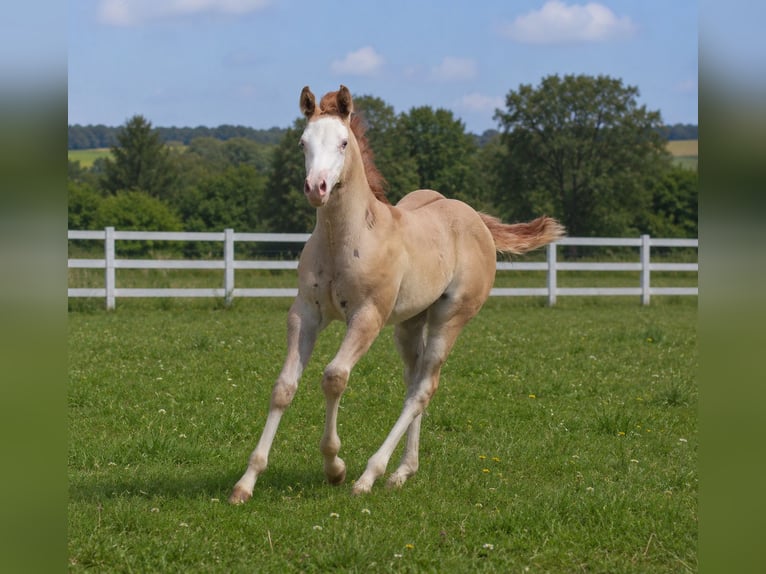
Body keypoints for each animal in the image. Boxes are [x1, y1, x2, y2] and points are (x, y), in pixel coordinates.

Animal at [229, 85, 564, 503]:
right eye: (303, 142)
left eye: (342, 142)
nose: (316, 188)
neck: (347, 239)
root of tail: (476, 219)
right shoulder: (305, 313)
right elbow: (283, 387)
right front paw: (247, 481)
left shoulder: (367, 316)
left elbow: (334, 377)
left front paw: (335, 467)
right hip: (409, 324)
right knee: (412, 382)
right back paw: (403, 471)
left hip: (449, 318)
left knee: (424, 388)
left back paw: (370, 475)